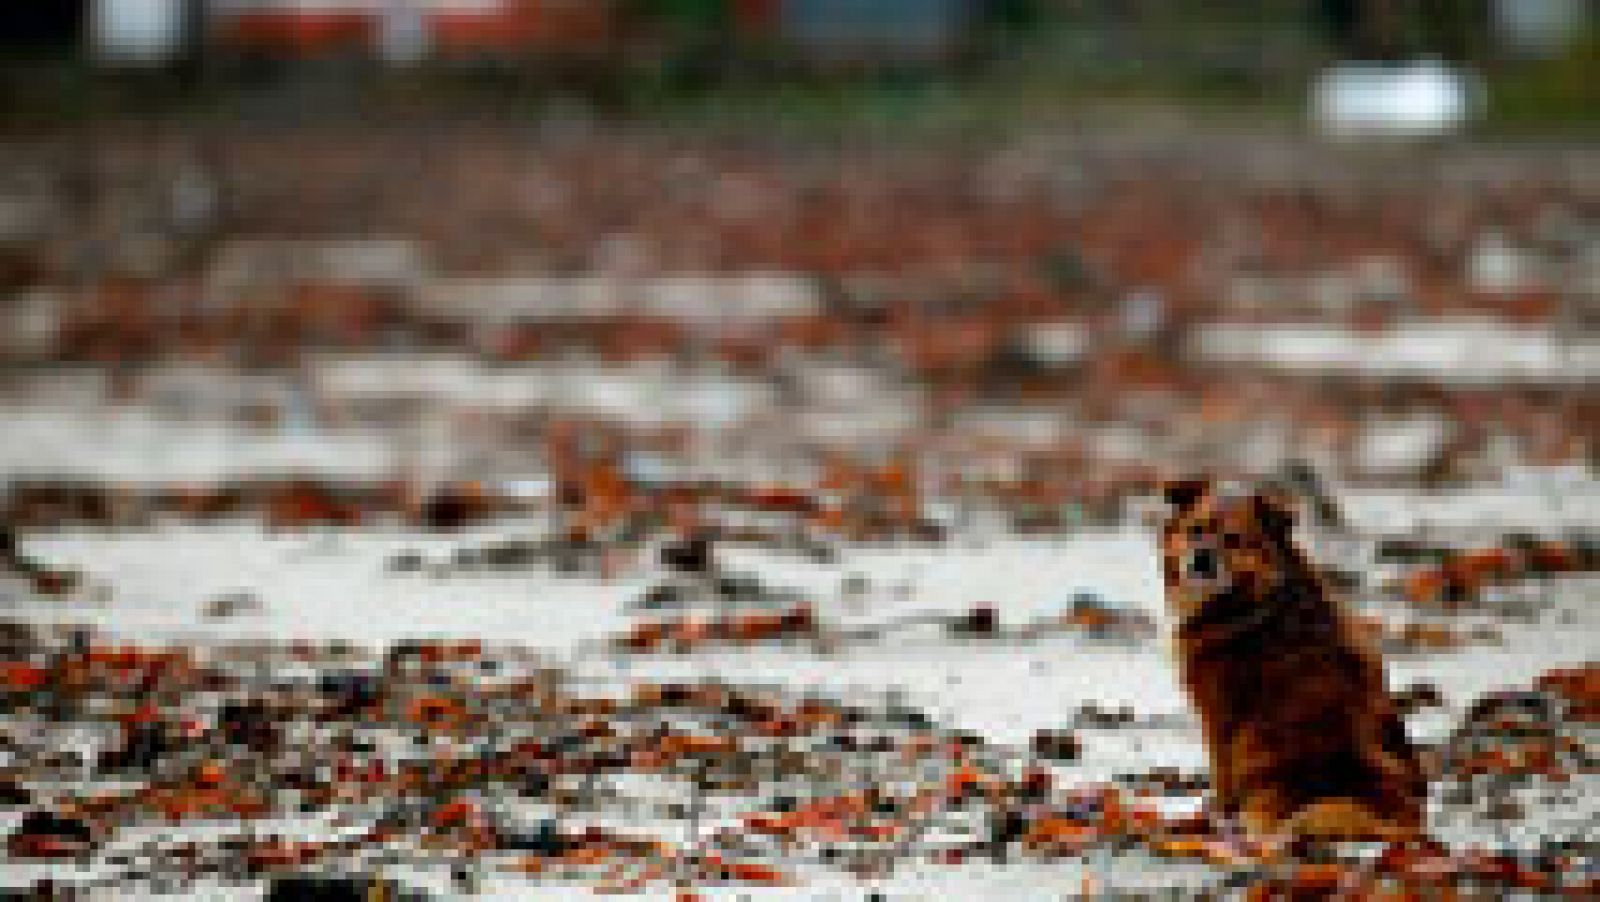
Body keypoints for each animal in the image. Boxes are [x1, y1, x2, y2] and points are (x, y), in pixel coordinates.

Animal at [1164, 479, 1427, 844]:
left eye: (1233, 540)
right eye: (1195, 530)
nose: (1201, 558)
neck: (1255, 601)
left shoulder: (1219, 717)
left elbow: (1221, 777)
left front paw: (1215, 813)